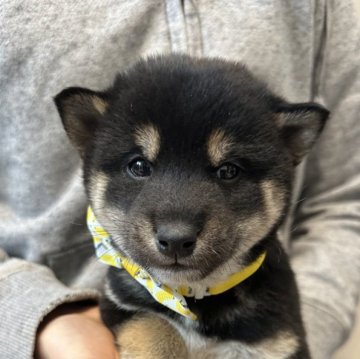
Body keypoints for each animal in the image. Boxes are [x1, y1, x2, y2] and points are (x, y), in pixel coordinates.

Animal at [54, 54, 328, 358]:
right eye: (138, 166)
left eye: (229, 171)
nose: (175, 239)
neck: (194, 296)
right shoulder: (121, 303)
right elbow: (155, 326)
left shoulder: (279, 339)